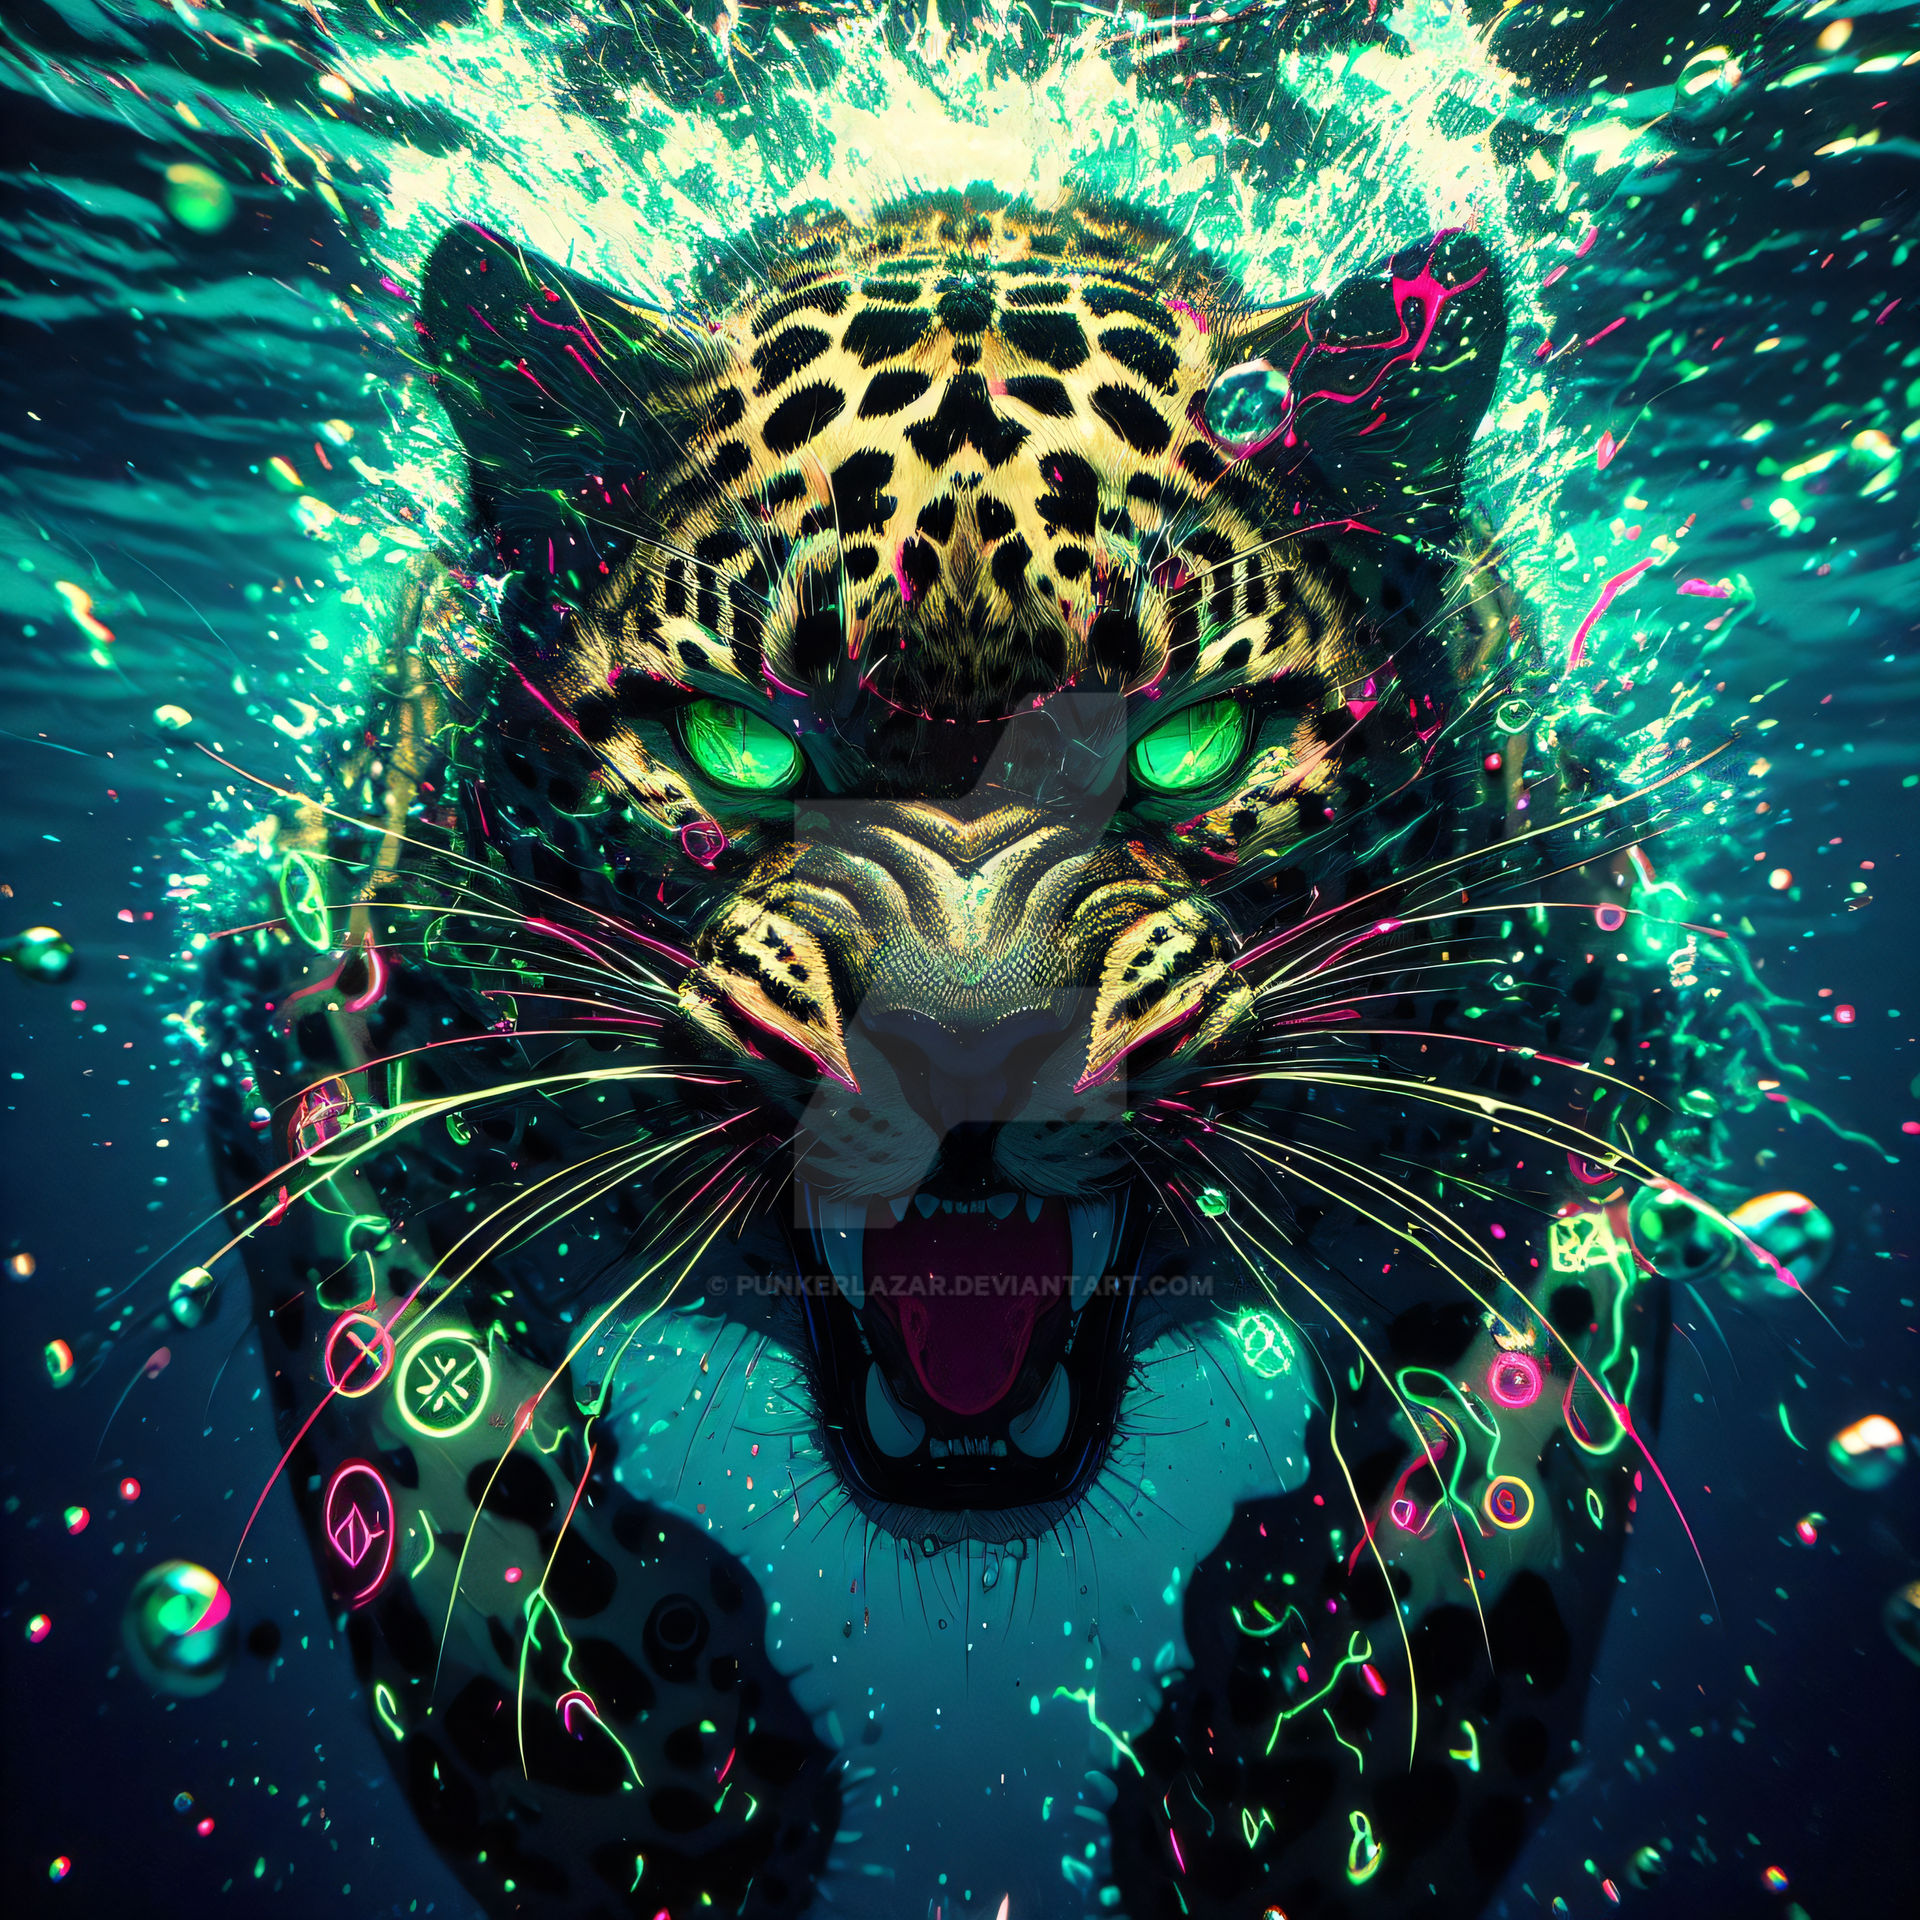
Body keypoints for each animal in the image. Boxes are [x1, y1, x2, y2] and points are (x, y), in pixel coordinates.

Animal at [203, 187, 1678, 1920]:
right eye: (740, 747)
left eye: (1186, 748)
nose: (965, 1056)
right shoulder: (318, 1011)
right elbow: (419, 1464)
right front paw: (664, 1805)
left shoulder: (1583, 1052)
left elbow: (1510, 1502)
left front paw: (1289, 1811)